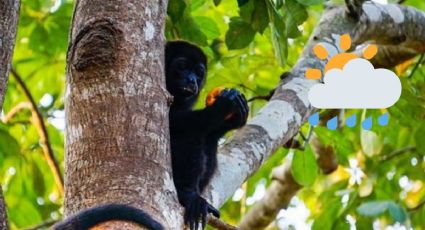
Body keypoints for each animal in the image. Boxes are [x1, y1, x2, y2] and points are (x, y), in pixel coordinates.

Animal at [166, 40, 248, 229]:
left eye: (199, 73)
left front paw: (234, 120)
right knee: (190, 135)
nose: (192, 80)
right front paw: (222, 106)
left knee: (208, 141)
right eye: (182, 66)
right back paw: (188, 195)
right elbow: (173, 121)